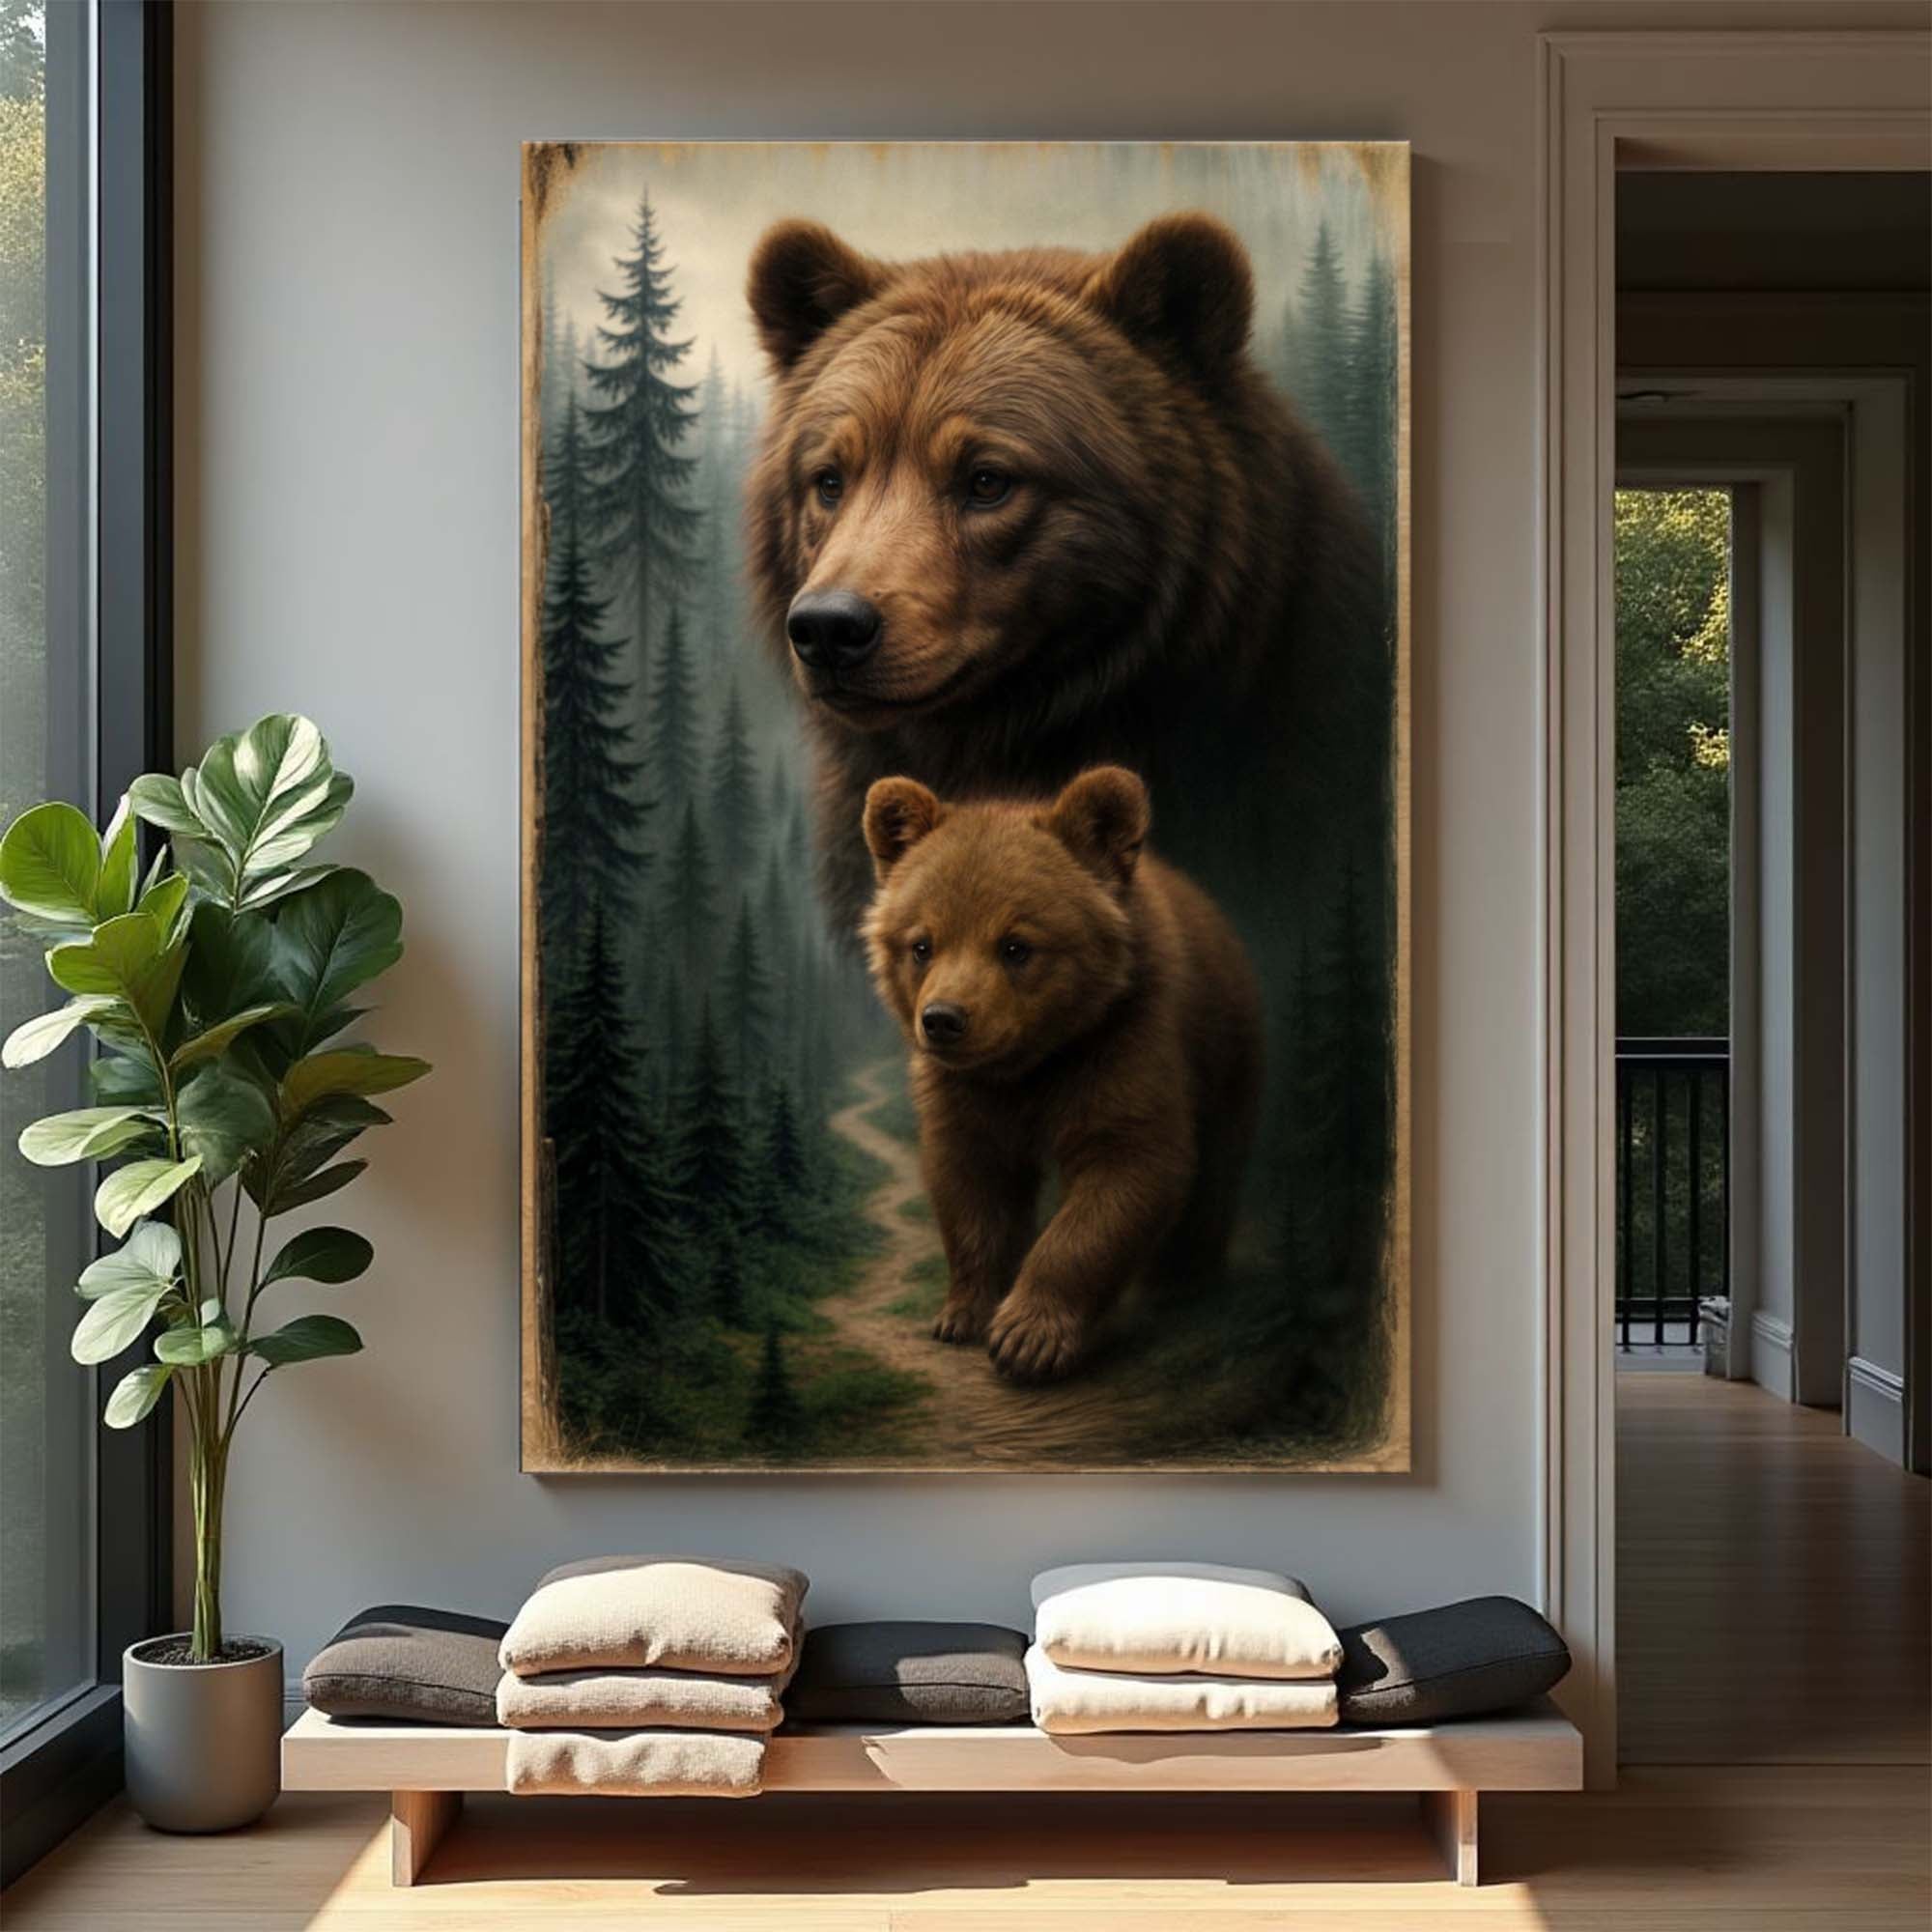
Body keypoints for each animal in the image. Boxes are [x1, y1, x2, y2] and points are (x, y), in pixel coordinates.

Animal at [860, 764, 1263, 1383]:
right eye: (921, 944)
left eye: (1016, 945)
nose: (944, 1020)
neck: (1033, 1064)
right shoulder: (966, 1092)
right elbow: (972, 1185)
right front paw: (963, 1313)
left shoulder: (1124, 1045)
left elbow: (1124, 1172)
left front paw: (1027, 1335)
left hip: (1225, 1055)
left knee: (1217, 1169)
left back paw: (1185, 1279)